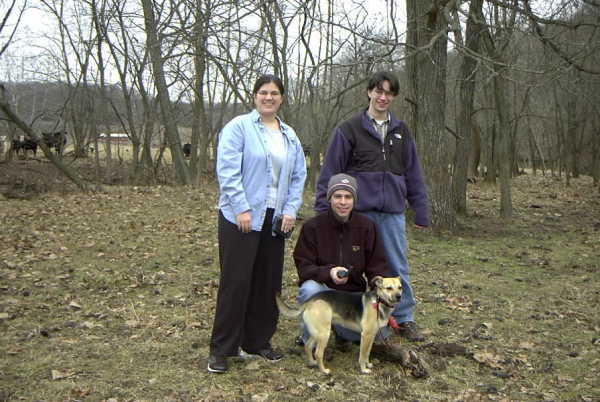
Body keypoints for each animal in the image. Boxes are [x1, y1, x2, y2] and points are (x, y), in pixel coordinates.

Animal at [276, 276, 404, 374]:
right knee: (318, 353)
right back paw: (324, 370)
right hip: (324, 334)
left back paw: (312, 363)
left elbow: (367, 353)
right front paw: (363, 369)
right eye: (389, 288)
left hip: (317, 332)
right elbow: (362, 355)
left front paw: (368, 364)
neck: (379, 302)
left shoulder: (371, 336)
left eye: (400, 287)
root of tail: (310, 300)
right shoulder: (366, 335)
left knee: (308, 346)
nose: (399, 296)